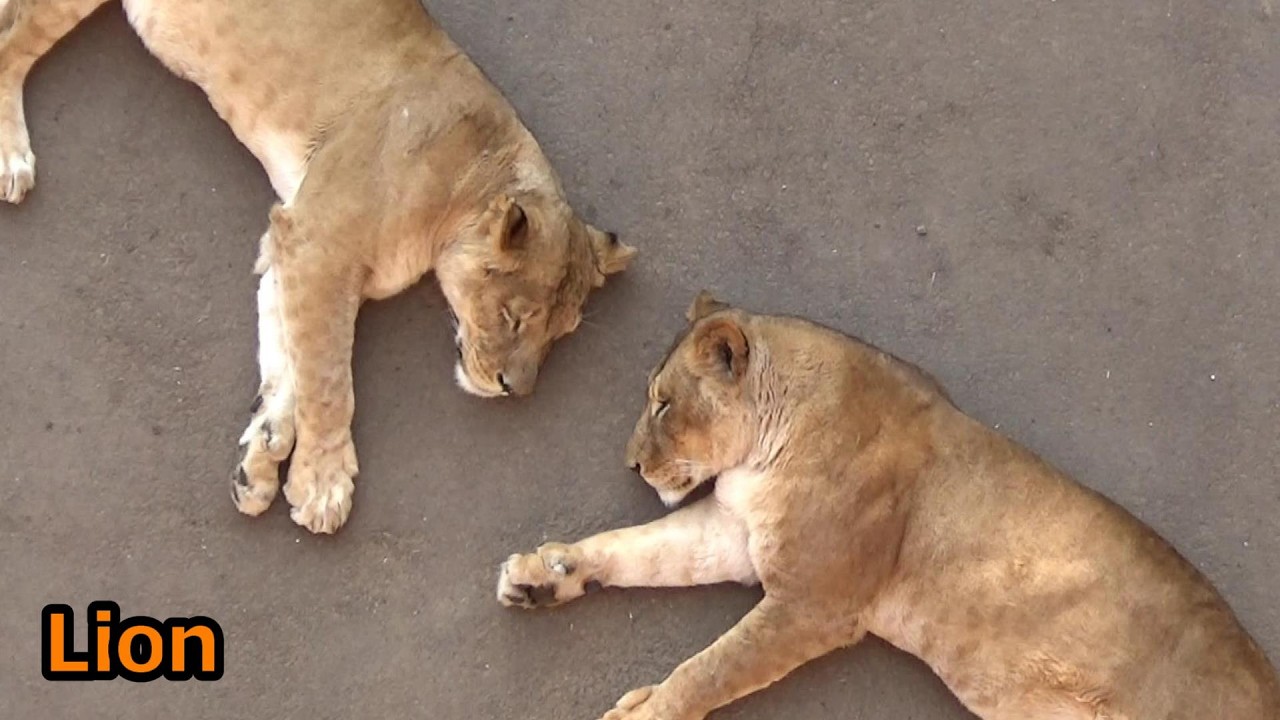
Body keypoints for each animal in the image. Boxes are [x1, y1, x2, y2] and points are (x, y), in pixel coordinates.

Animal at [0, 0, 637, 533]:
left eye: (558, 336)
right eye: (513, 317)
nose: (515, 391)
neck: (468, 175)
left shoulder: (289, 246)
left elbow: (292, 361)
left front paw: (261, 456)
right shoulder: (319, 243)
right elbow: (330, 378)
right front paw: (323, 484)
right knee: (12, 39)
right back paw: (12, 159)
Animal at [497, 292, 1280, 720]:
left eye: (662, 404)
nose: (631, 463)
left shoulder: (814, 602)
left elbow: (708, 669)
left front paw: (647, 708)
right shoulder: (737, 533)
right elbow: (638, 547)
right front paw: (543, 574)